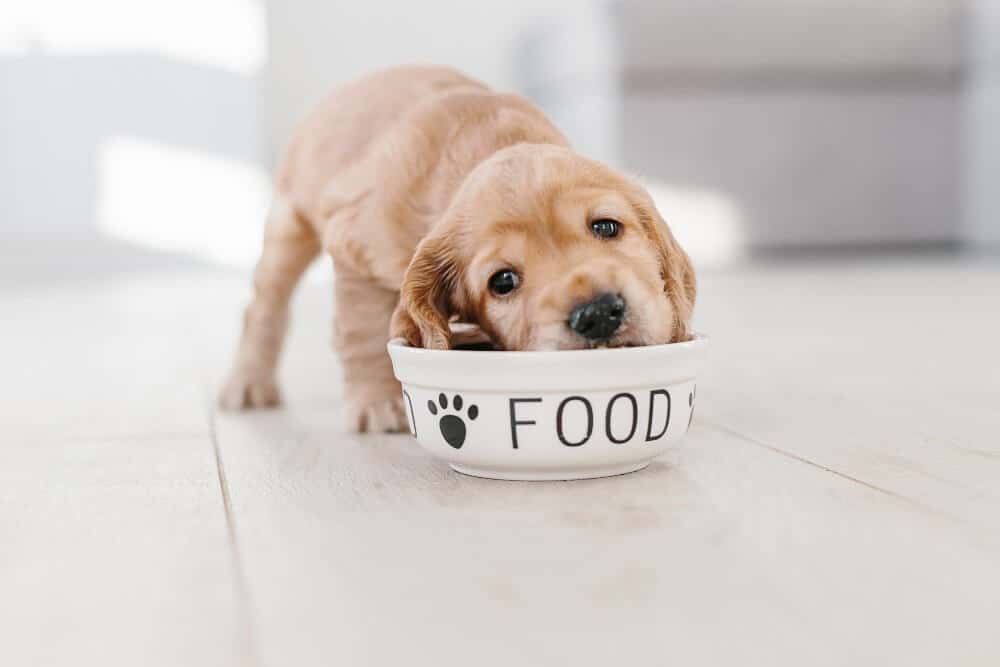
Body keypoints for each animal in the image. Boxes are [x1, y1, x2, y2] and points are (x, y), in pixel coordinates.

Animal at [221, 65, 696, 434]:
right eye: (503, 281)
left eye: (606, 226)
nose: (597, 314)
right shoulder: (355, 250)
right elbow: (363, 331)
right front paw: (376, 403)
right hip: (289, 226)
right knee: (263, 307)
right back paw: (248, 383)